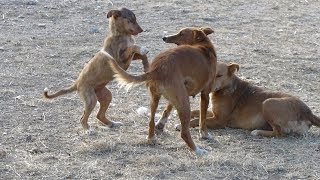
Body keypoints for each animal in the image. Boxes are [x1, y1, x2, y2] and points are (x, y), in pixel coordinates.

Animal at [108, 26, 218, 155]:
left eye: (181, 34)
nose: (165, 37)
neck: (204, 46)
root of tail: (157, 68)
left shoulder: (179, 94)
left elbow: (167, 109)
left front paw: (160, 124)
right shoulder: (205, 94)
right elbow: (203, 118)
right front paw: (204, 134)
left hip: (156, 98)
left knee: (150, 122)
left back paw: (151, 138)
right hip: (185, 104)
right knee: (184, 133)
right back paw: (198, 150)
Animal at [175, 61, 320, 137]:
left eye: (219, 75)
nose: (204, 88)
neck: (226, 88)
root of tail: (308, 112)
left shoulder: (220, 121)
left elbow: (196, 120)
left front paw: (182, 125)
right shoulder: (214, 113)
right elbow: (196, 112)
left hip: (268, 103)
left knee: (278, 133)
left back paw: (257, 132)